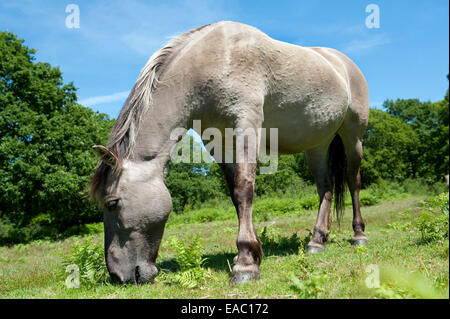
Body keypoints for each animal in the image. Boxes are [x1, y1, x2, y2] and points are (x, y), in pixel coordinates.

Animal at [89, 21, 370, 284]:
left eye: (112, 203)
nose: (118, 276)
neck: (216, 59)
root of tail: (344, 64)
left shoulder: (246, 126)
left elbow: (245, 189)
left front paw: (245, 265)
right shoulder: (220, 144)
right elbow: (236, 196)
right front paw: (250, 253)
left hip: (353, 136)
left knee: (353, 181)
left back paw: (359, 235)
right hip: (317, 146)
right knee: (325, 189)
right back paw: (316, 241)